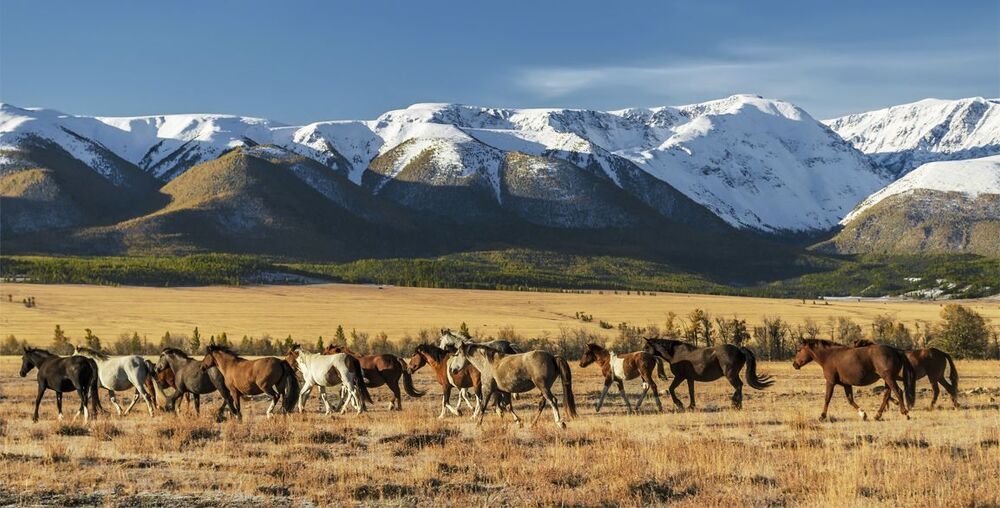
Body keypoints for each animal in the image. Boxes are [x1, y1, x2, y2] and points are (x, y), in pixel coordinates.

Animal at [644, 339, 772, 410]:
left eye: (646, 347)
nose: (643, 356)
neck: (675, 354)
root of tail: (739, 350)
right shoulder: (690, 378)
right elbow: (691, 391)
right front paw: (691, 406)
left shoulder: (680, 377)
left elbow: (671, 389)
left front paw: (679, 404)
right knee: (739, 386)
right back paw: (737, 404)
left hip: (730, 375)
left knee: (738, 386)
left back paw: (735, 404)